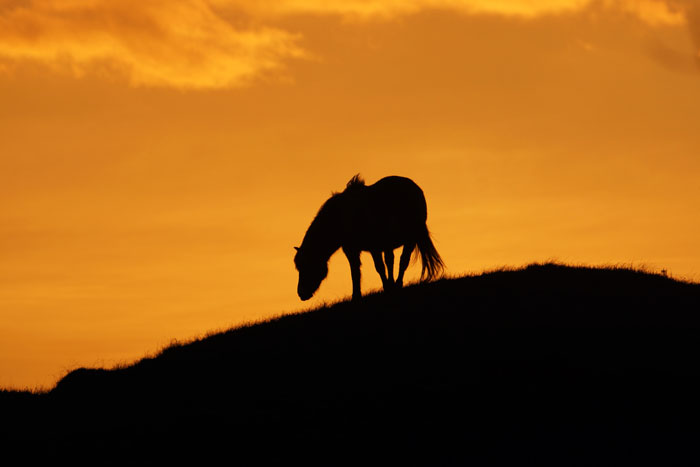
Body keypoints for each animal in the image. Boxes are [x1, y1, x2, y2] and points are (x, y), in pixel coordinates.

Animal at [294, 174, 444, 301]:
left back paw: (396, 284)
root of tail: (415, 190)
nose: (301, 293)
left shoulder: (372, 247)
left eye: (306, 265)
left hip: (409, 238)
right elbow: (356, 271)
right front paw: (357, 295)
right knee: (395, 260)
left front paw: (385, 287)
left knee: (402, 261)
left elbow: (377, 267)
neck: (340, 217)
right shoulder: (354, 249)